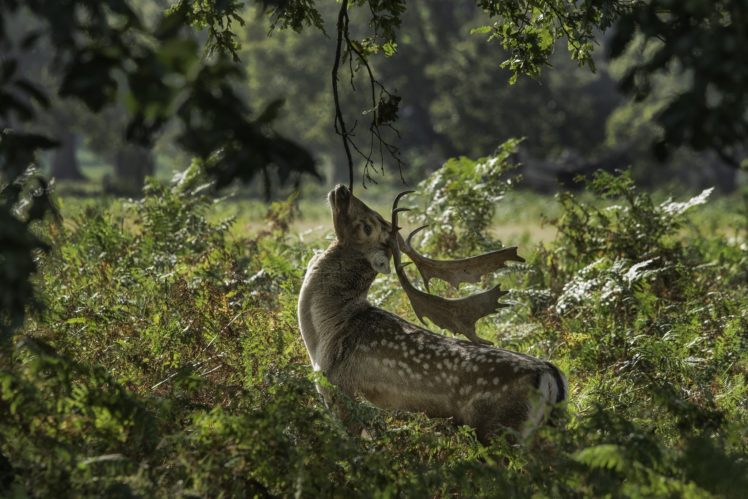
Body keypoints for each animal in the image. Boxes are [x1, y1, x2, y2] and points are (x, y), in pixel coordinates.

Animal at [298, 184, 568, 442]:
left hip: (500, 429)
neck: (326, 333)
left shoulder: (343, 395)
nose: (343, 190)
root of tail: (550, 374)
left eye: (367, 226)